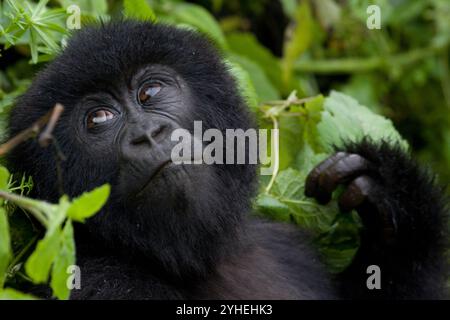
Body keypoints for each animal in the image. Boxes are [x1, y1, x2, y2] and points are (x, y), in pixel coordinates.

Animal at [5, 21, 448, 298]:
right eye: (98, 118)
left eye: (150, 92)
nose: (147, 134)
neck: (200, 261)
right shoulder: (92, 280)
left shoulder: (284, 244)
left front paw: (390, 197)